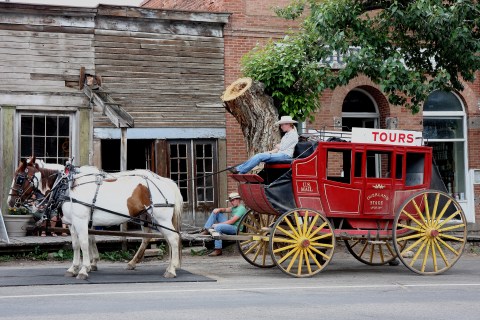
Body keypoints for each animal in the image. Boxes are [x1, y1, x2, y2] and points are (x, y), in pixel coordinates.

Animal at [8, 159, 182, 278]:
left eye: (20, 178)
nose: (10, 201)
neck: (68, 185)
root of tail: (164, 180)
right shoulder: (72, 224)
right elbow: (76, 245)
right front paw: (74, 268)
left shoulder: (81, 221)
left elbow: (85, 243)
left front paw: (84, 270)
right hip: (150, 218)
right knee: (160, 239)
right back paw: (160, 265)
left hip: (161, 219)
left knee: (173, 239)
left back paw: (171, 269)